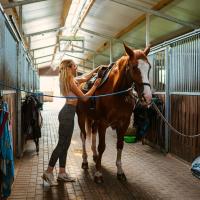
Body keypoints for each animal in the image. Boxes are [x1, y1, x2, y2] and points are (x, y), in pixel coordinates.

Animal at [76, 43, 152, 183]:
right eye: (134, 67)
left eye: (149, 67)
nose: (147, 97)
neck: (116, 93)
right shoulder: (103, 123)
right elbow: (102, 146)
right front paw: (98, 173)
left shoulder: (124, 123)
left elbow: (120, 145)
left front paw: (120, 171)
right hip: (81, 117)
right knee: (83, 136)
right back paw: (85, 161)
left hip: (94, 120)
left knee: (92, 132)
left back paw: (95, 156)